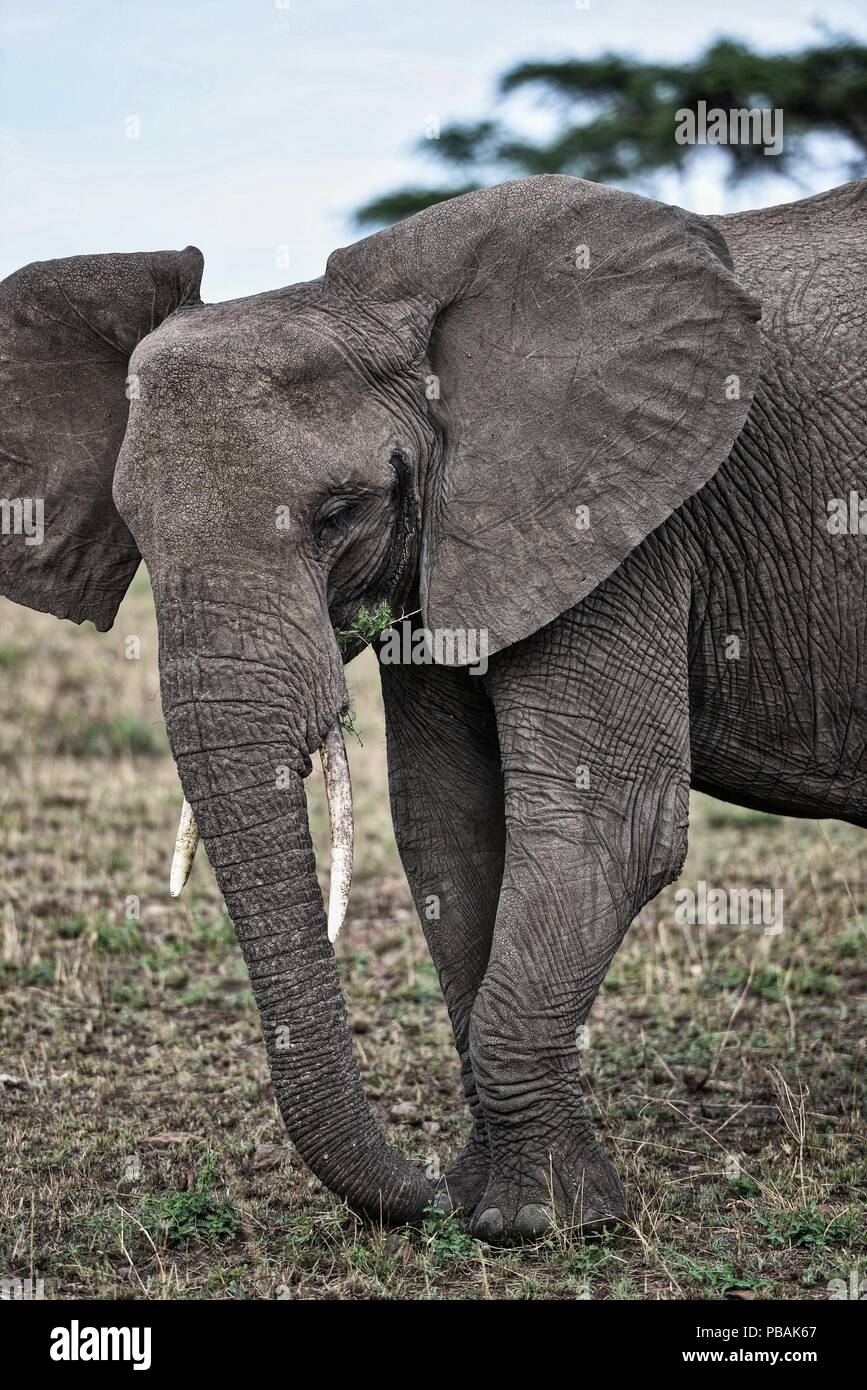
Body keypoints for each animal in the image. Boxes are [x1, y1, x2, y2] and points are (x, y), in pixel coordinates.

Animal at [1, 173, 867, 1251]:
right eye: (135, 530)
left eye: (341, 514)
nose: (421, 1195)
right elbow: (449, 826)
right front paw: (485, 1197)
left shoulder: (619, 521)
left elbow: (602, 826)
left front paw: (539, 1221)